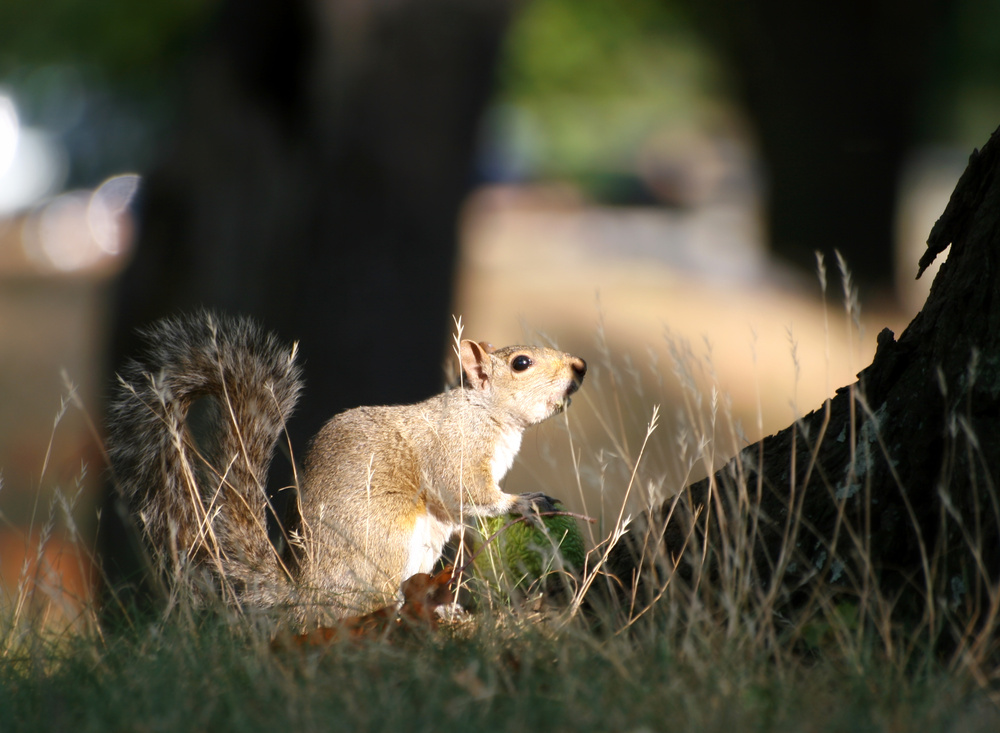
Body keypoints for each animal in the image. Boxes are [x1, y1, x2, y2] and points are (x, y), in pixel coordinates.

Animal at [107, 311, 587, 621]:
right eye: (521, 363)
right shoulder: (456, 451)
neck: (487, 414)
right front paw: (522, 501)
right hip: (387, 536)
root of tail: (308, 592)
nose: (580, 366)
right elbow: (467, 491)